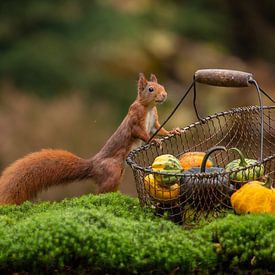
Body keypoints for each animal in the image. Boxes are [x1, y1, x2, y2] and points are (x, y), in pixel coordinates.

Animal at [0, 73, 180, 205]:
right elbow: (142, 134)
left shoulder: (154, 123)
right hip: (113, 171)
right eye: (150, 89)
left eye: (163, 87)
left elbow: (160, 129)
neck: (148, 108)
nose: (164, 95)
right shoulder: (135, 121)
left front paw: (174, 131)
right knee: (101, 192)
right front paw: (154, 141)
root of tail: (93, 165)